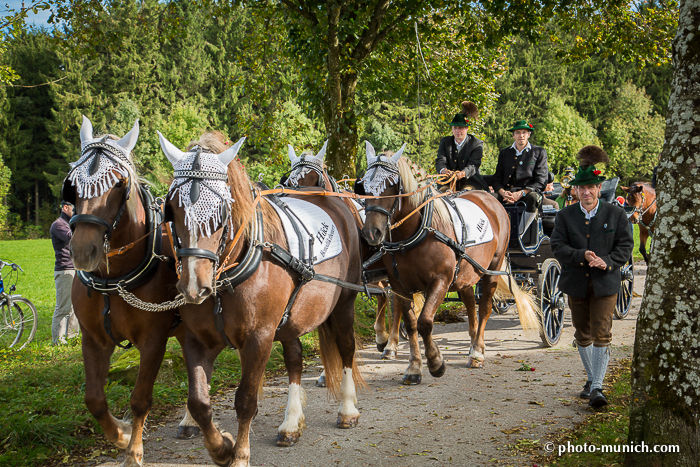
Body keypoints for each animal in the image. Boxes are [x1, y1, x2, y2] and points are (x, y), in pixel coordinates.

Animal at [65, 117, 193, 467]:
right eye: (72, 184)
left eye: (119, 184)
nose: (83, 252)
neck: (114, 281)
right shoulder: (94, 339)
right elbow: (94, 398)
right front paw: (120, 435)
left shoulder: (153, 340)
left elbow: (140, 398)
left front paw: (134, 450)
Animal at [159, 131, 366, 467]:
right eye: (172, 208)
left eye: (221, 211)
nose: (193, 286)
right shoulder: (196, 338)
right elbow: (199, 402)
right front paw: (221, 447)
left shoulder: (259, 337)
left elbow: (245, 399)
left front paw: (240, 455)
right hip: (292, 317)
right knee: (295, 358)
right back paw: (291, 423)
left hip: (344, 303)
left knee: (346, 348)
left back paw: (348, 409)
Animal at [358, 143, 540, 384]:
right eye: (364, 187)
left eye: (392, 186)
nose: (372, 233)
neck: (416, 232)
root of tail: (491, 199)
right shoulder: (399, 286)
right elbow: (411, 323)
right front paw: (414, 367)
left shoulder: (440, 281)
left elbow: (425, 322)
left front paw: (435, 361)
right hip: (466, 272)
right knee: (470, 301)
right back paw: (472, 341)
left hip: (492, 268)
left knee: (484, 307)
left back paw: (477, 351)